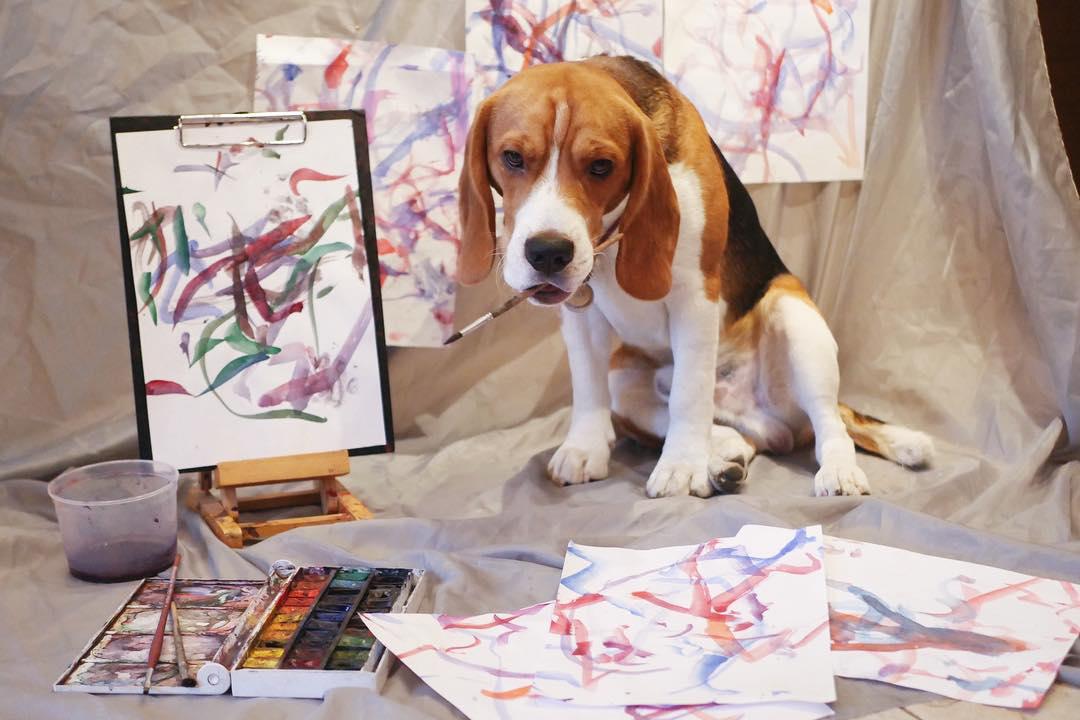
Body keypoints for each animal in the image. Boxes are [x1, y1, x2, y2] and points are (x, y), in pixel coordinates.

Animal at [455, 56, 928, 498]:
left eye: (602, 166)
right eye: (512, 158)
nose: (548, 253)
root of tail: (768, 419)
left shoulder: (695, 296)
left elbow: (688, 393)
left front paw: (681, 466)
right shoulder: (580, 311)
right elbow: (587, 388)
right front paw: (584, 450)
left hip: (793, 315)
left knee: (830, 422)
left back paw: (835, 470)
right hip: (624, 374)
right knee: (741, 436)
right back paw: (723, 458)